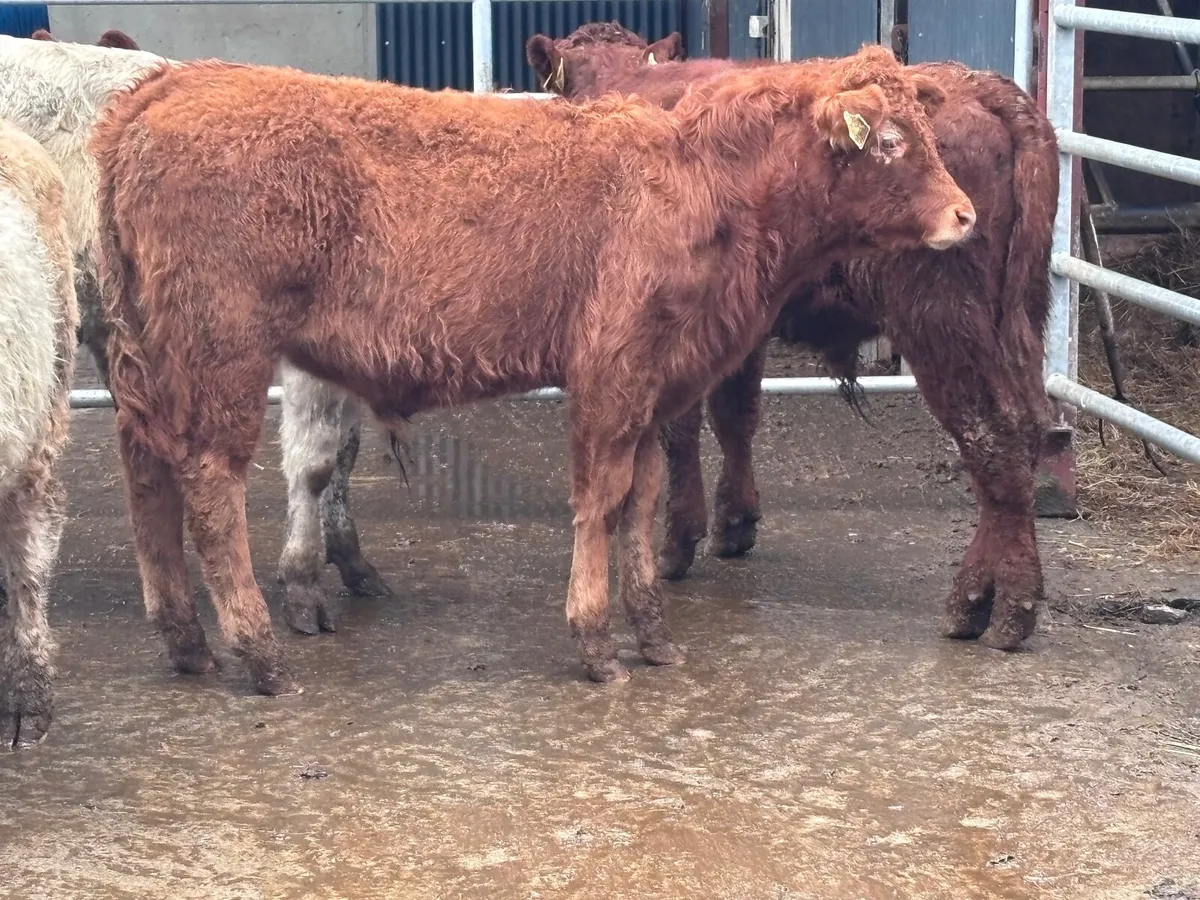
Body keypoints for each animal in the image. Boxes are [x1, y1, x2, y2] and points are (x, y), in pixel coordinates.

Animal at [92, 48, 974, 695]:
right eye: (891, 141)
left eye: (925, 131)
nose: (965, 215)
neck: (698, 181)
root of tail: (172, 83)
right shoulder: (610, 376)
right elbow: (599, 499)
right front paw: (594, 640)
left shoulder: (654, 388)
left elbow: (641, 501)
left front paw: (652, 633)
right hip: (221, 356)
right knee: (210, 487)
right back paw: (258, 653)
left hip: (149, 360)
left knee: (145, 469)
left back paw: (185, 639)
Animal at [525, 23, 1059, 652]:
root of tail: (981, 85)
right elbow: (735, 416)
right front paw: (735, 523)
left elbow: (682, 431)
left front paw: (680, 540)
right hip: (1017, 323)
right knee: (1027, 433)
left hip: (943, 324)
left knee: (991, 439)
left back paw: (987, 606)